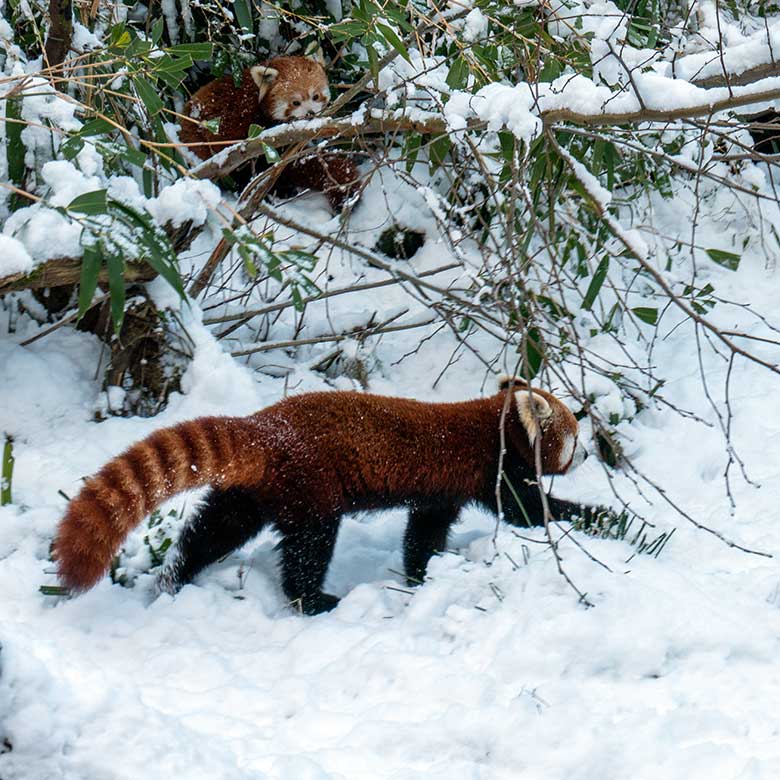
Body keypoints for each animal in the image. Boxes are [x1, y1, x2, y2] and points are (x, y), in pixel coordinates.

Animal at [54, 378, 608, 616]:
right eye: (575, 436)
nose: (590, 453)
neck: (493, 425)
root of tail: (265, 428)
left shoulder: (441, 492)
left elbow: (423, 534)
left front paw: (421, 576)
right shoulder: (494, 472)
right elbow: (527, 513)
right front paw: (602, 518)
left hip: (251, 492)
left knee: (213, 531)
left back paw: (174, 578)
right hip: (311, 487)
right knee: (308, 548)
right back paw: (314, 600)